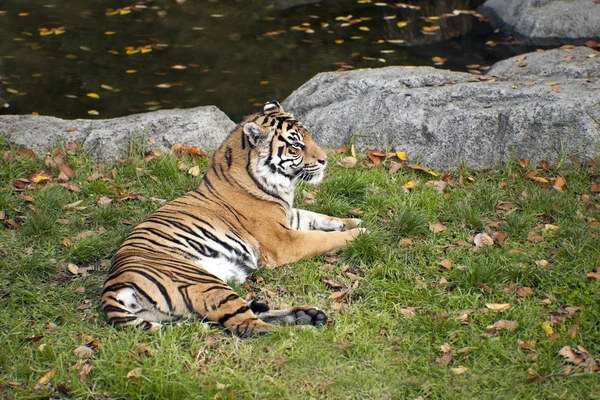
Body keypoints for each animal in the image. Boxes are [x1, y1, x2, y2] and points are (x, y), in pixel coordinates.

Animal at [102, 99, 364, 334]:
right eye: (296, 145)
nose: (325, 160)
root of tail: (112, 288)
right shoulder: (284, 241)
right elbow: (322, 237)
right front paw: (361, 233)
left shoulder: (290, 216)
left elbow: (319, 217)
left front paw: (354, 221)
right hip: (203, 283)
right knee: (247, 326)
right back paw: (301, 328)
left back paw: (304, 314)